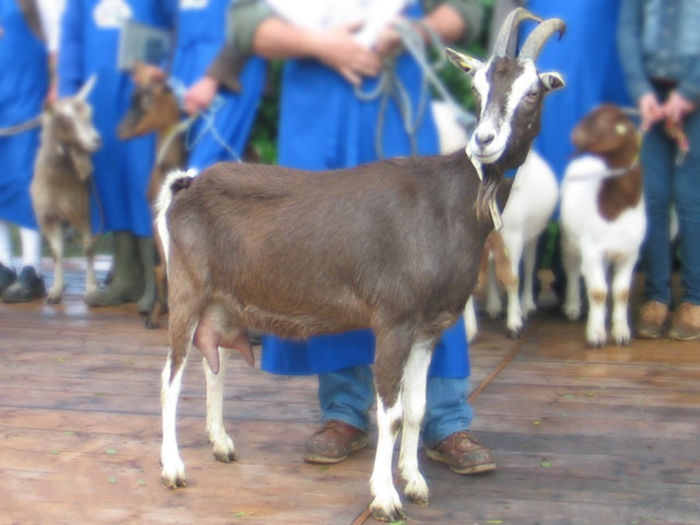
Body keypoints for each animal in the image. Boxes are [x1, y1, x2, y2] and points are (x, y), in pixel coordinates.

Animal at [30, 75, 101, 300]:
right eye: (65, 120)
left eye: (90, 115)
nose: (97, 140)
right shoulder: (48, 216)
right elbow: (56, 253)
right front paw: (55, 289)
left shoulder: (84, 213)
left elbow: (88, 249)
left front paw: (91, 289)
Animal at [156, 9, 568, 520]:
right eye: (478, 88)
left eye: (532, 91)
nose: (484, 141)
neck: (450, 200)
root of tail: (186, 186)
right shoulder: (394, 320)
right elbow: (390, 411)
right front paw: (386, 497)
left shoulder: (429, 327)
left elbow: (416, 407)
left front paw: (415, 482)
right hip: (187, 290)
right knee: (170, 377)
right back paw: (173, 469)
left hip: (222, 301)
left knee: (215, 363)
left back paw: (221, 443)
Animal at [556, 104, 644, 346]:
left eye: (602, 121)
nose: (574, 135)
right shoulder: (592, 250)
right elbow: (598, 292)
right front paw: (595, 335)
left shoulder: (629, 254)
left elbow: (621, 292)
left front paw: (621, 332)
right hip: (569, 239)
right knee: (572, 267)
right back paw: (573, 307)